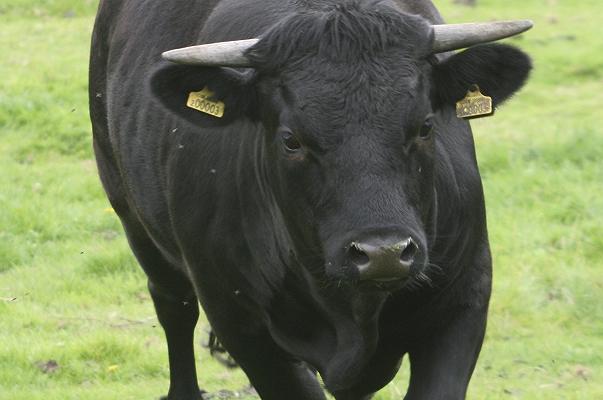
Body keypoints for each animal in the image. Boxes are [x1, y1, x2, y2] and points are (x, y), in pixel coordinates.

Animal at [87, 0, 532, 400]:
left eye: (425, 126)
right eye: (291, 140)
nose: (383, 252)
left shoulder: (464, 297)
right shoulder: (240, 322)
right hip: (133, 218)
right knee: (174, 307)